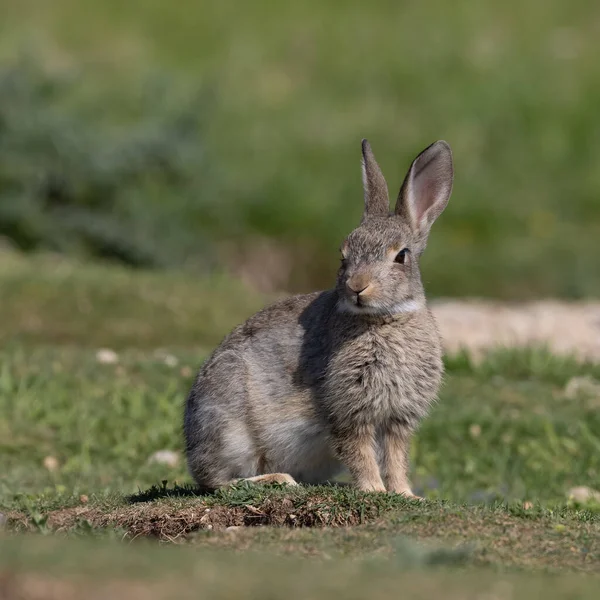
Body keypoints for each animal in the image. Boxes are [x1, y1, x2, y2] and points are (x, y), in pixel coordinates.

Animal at [185, 138, 452, 494]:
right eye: (343, 255)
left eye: (401, 256)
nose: (357, 286)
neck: (383, 319)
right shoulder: (346, 408)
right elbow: (359, 451)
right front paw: (373, 489)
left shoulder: (397, 419)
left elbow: (395, 458)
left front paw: (405, 495)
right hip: (230, 429)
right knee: (217, 482)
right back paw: (277, 479)